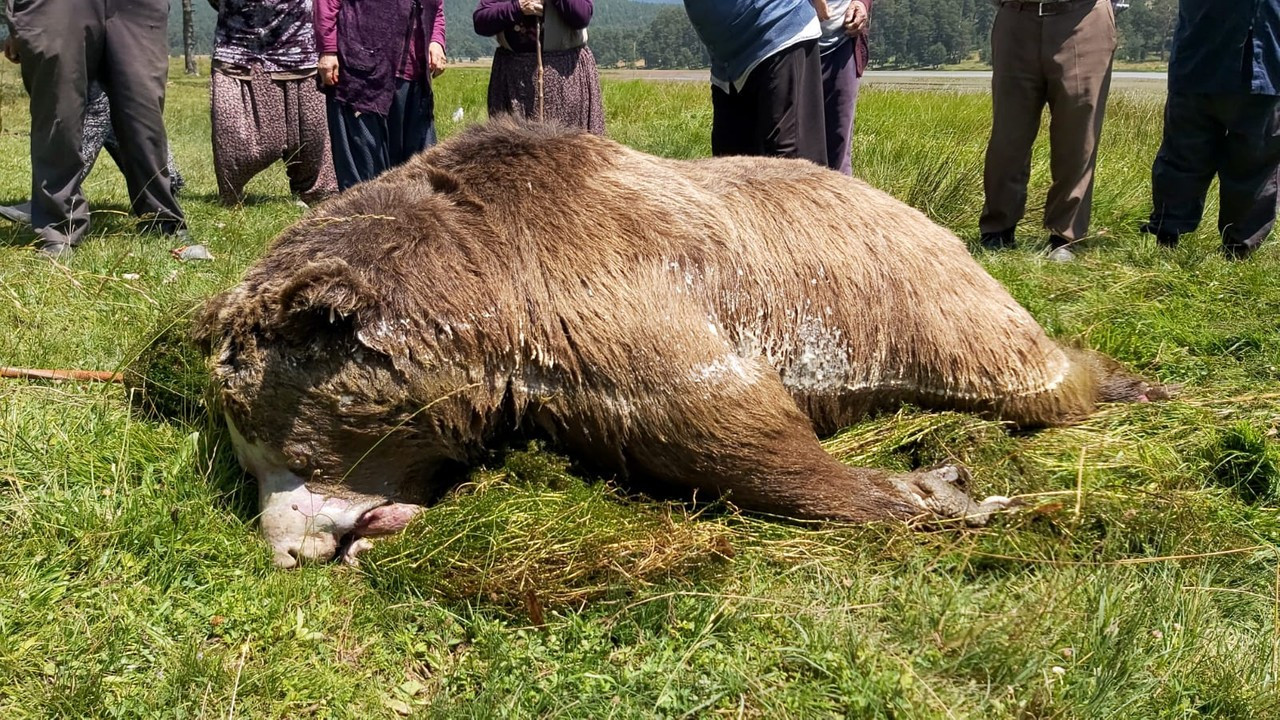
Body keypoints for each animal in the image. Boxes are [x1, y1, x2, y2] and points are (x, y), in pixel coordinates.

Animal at [194, 116, 1167, 566]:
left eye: (295, 445)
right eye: (247, 452)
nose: (289, 549)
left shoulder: (607, 301)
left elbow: (734, 424)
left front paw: (939, 488)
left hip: (929, 299)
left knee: (1029, 374)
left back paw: (1126, 380)